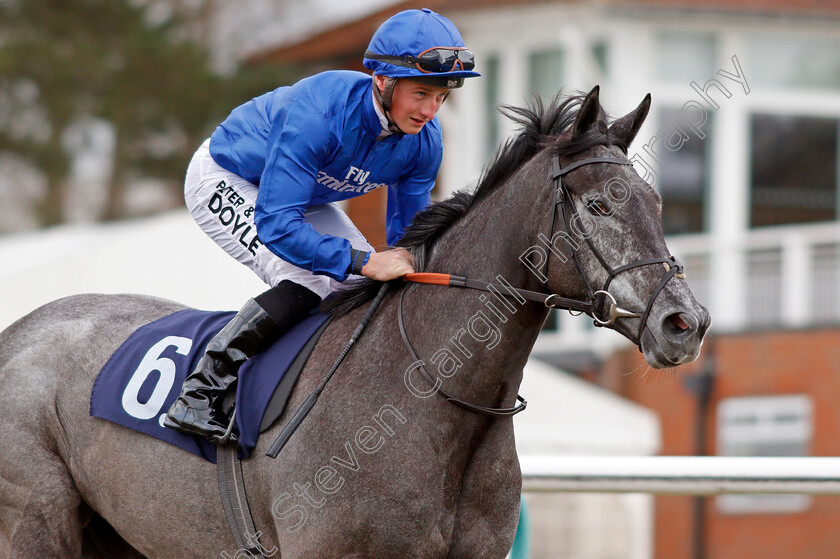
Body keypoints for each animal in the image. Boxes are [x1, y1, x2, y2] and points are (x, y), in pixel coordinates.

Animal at [0, 84, 708, 559]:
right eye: (597, 205)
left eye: (656, 203)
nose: (686, 323)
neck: (429, 397)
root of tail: (18, 332)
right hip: (34, 522)